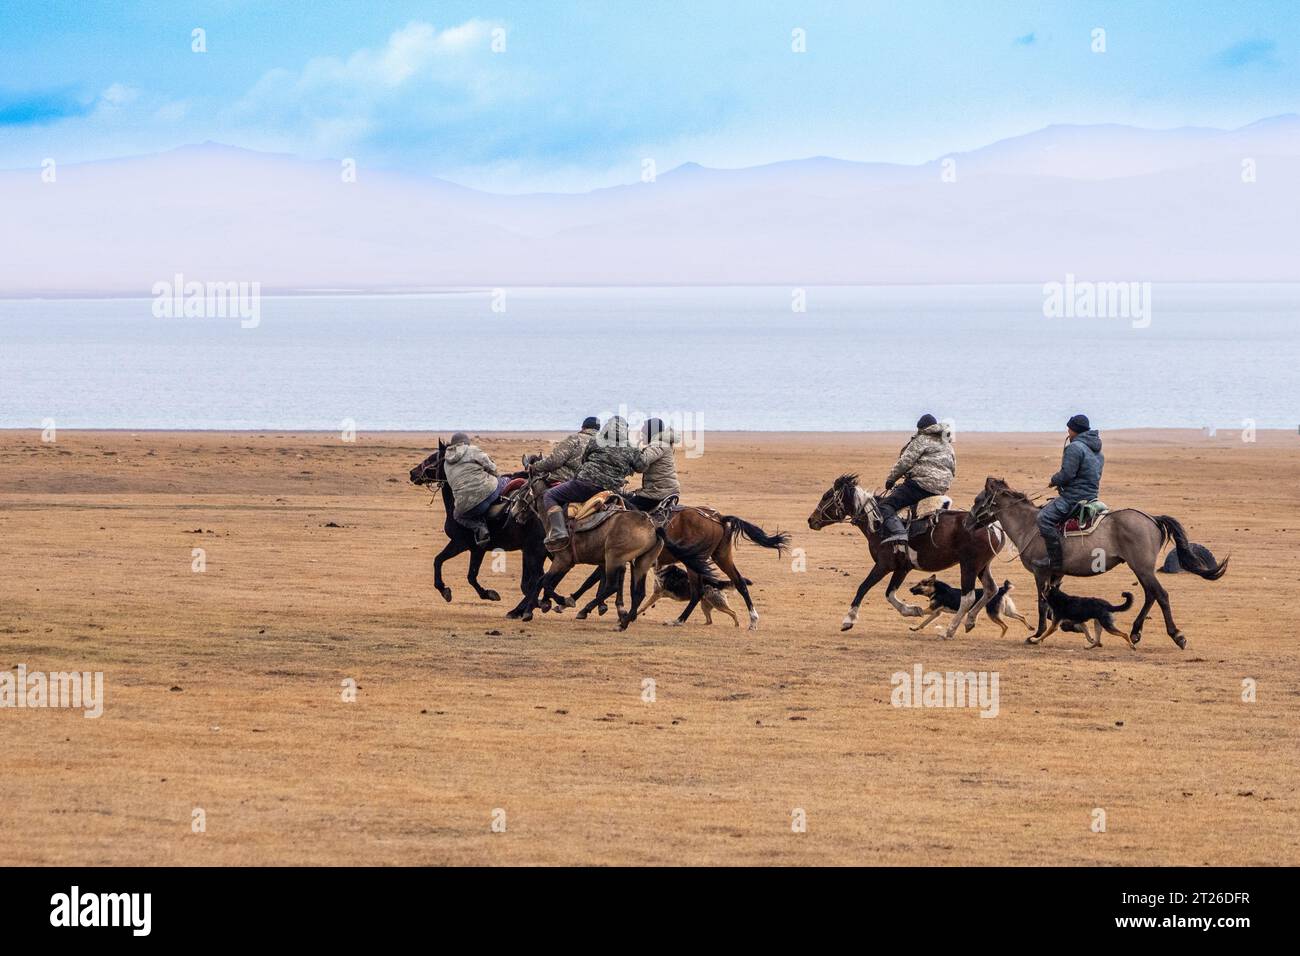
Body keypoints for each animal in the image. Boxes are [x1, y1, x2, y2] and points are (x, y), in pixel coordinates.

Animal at [408, 439, 546, 624]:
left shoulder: (470, 546)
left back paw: (525, 609)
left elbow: (469, 576)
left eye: (431, 458)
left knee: (537, 579)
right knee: (536, 580)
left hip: (534, 550)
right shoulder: (464, 546)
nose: (413, 473)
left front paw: (488, 594)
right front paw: (445, 590)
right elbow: (439, 561)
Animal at [509, 476, 722, 629]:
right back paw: (625, 621)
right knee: (639, 592)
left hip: (616, 558)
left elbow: (544, 581)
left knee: (613, 586)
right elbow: (549, 581)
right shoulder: (600, 562)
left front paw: (551, 604)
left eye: (523, 489)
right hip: (641, 562)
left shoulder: (565, 560)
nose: (513, 512)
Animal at [569, 504, 790, 632]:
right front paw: (613, 610)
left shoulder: (614, 556)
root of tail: (719, 518)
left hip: (695, 560)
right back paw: (753, 620)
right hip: (721, 556)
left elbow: (596, 581)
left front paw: (583, 606)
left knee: (698, 591)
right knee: (740, 582)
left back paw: (678, 620)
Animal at [800, 476, 1003, 639]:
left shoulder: (883, 565)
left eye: (827, 496)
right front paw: (913, 610)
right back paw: (970, 621)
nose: (811, 520)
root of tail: (992, 526)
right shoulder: (902, 568)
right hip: (982, 566)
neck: (879, 523)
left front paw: (848, 620)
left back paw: (949, 631)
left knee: (968, 597)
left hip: (968, 566)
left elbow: (864, 587)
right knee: (991, 589)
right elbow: (890, 593)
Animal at [967, 478, 1227, 650]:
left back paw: (1176, 635)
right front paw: (1072, 628)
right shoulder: (1056, 574)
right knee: (1150, 595)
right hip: (1141, 569)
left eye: (978, 500)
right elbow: (1054, 607)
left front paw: (1036, 635)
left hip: (1142, 567)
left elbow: (1042, 604)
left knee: (1160, 595)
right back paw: (1135, 632)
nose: (968, 523)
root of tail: (1151, 519)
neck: (1029, 525)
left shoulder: (1041, 572)